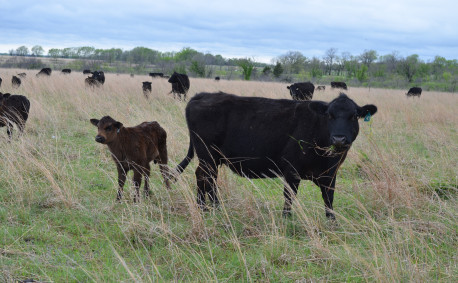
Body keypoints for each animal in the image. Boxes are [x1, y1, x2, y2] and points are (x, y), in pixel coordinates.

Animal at [174, 92, 378, 219]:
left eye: (354, 116)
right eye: (329, 115)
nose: (339, 138)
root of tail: (203, 95)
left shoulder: (330, 173)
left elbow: (329, 198)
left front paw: (332, 221)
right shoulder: (292, 169)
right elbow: (289, 196)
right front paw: (286, 219)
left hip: (212, 158)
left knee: (206, 178)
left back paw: (211, 207)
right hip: (207, 156)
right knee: (205, 177)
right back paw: (208, 208)